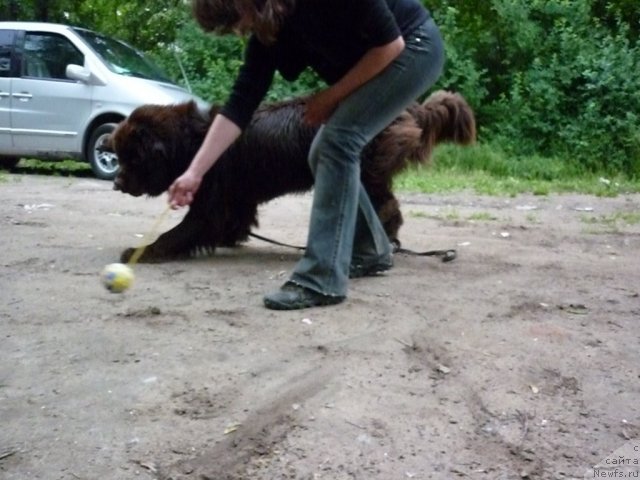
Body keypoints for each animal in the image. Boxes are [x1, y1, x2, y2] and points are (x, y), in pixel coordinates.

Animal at [107, 90, 476, 262]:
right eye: (121, 157)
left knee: (386, 208)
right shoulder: (237, 197)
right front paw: (231, 238)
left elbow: (182, 230)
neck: (192, 143)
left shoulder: (210, 201)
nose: (116, 183)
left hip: (365, 171)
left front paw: (142, 251)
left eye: (133, 158)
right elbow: (234, 220)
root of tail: (410, 108)